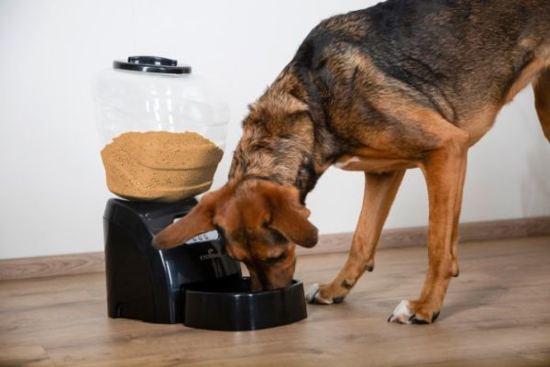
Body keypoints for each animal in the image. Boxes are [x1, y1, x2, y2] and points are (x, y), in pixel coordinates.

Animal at [152, 0, 550, 324]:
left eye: (276, 256)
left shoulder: (447, 148)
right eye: (241, 260)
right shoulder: (385, 171)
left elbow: (437, 244)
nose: (268, 302)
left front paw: (424, 307)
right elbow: (362, 237)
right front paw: (335, 289)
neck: (312, 102)